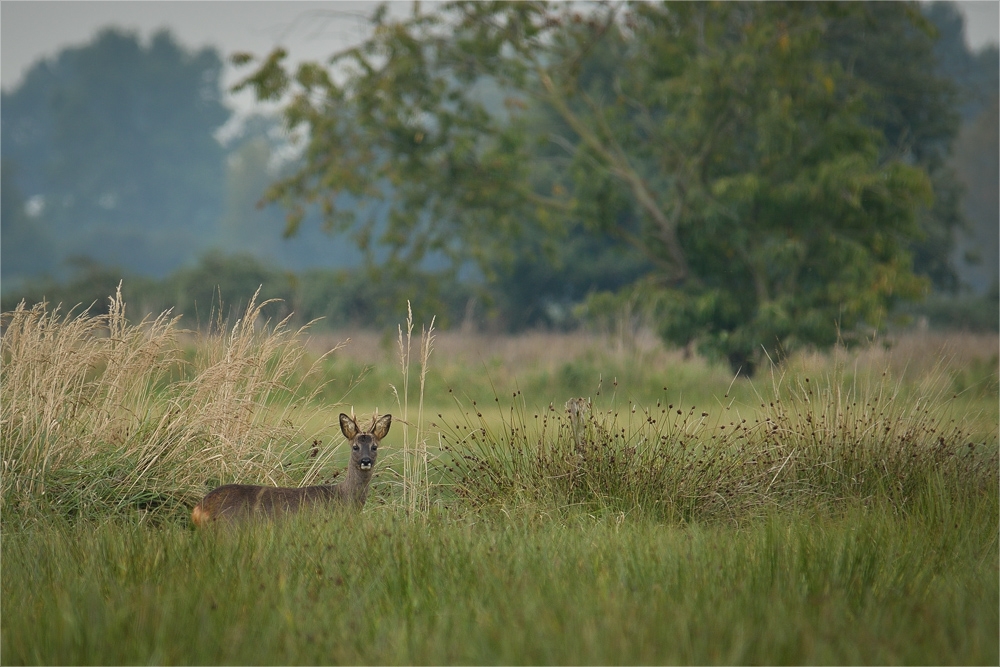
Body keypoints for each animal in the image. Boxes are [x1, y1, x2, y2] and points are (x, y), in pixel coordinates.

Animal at [191, 412, 390, 528]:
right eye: (355, 447)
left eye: (374, 447)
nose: (365, 461)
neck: (343, 499)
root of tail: (199, 509)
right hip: (227, 529)